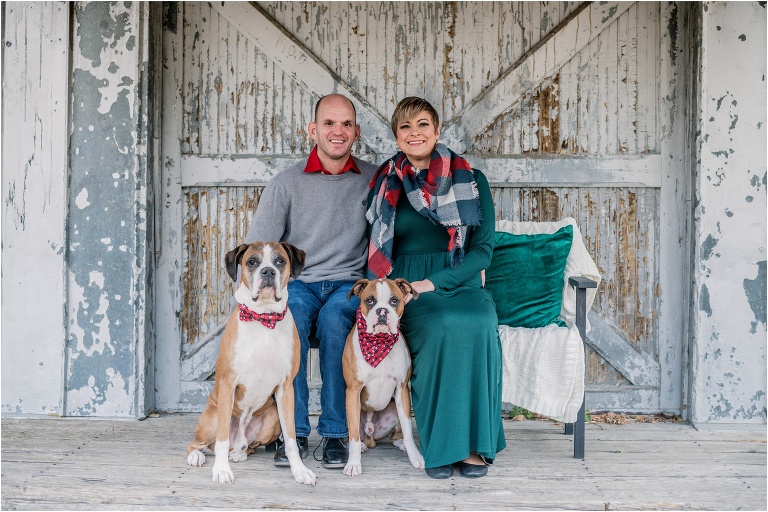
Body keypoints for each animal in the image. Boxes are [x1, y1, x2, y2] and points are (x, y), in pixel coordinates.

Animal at [188, 242, 316, 486]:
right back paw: (197, 456)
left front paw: (299, 470)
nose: (267, 272)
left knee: (248, 446)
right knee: (200, 443)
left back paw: (239, 453)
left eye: (280, 261)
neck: (264, 319)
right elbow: (221, 441)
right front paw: (221, 470)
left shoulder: (286, 388)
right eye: (252, 262)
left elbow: (291, 439)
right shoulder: (228, 383)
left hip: (272, 420)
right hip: (211, 420)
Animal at [342, 278, 426, 478]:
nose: (382, 311)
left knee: (398, 434)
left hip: (395, 408)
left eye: (394, 301)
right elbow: (354, 434)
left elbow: (408, 430)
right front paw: (354, 463)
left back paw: (402, 444)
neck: (378, 342)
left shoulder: (402, 389)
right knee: (354, 434)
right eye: (369, 300)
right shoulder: (353, 390)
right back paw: (361, 445)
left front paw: (415, 456)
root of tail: (370, 435)